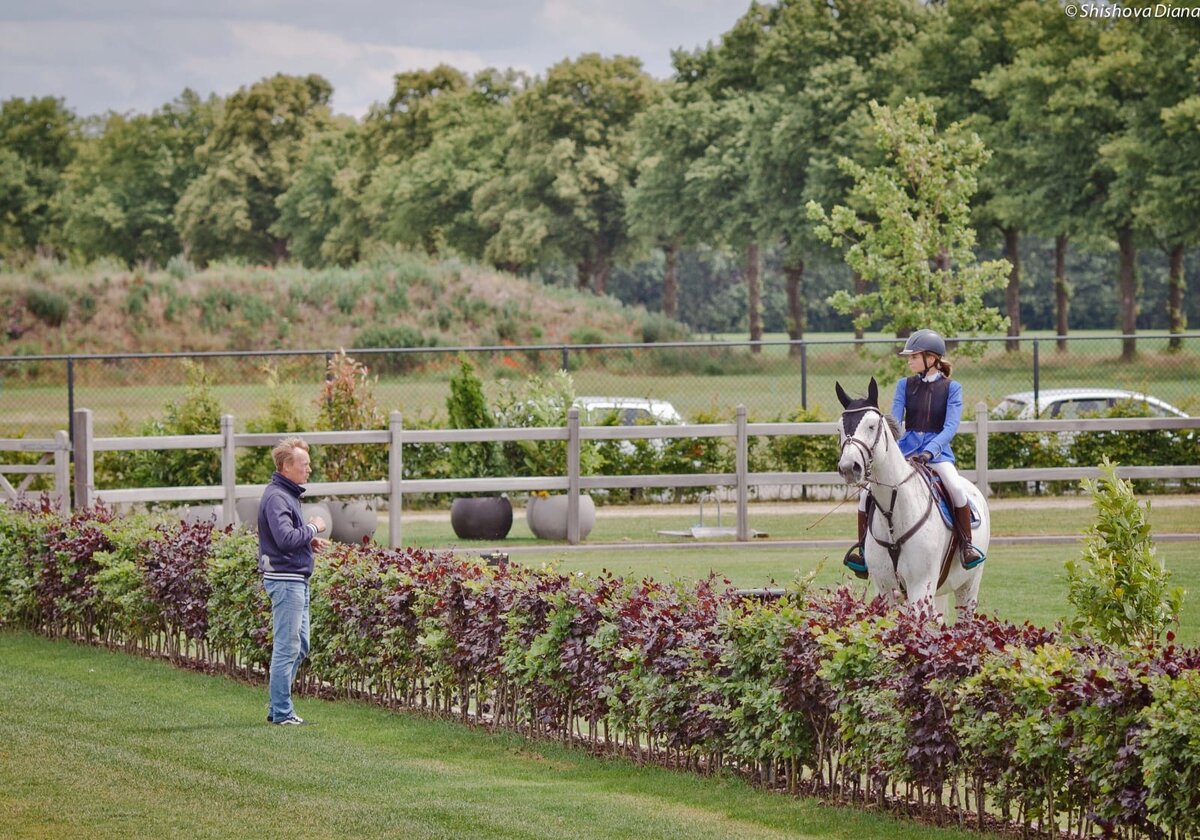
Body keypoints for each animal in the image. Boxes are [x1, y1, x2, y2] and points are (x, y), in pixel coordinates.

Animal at [835, 376, 984, 619]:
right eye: (839, 428)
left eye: (871, 426)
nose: (849, 467)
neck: (893, 511)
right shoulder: (884, 589)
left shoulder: (919, 587)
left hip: (968, 587)